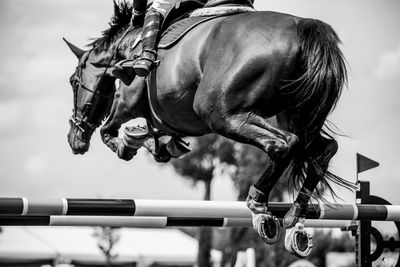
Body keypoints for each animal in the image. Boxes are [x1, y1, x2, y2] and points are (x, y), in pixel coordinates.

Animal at [65, 1, 354, 258]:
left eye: (74, 81)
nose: (74, 140)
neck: (128, 46)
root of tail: (303, 27)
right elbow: (158, 138)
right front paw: (162, 145)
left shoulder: (126, 102)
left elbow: (108, 132)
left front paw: (129, 142)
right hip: (296, 116)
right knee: (323, 149)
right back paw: (296, 217)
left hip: (221, 114)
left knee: (283, 144)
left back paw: (259, 206)